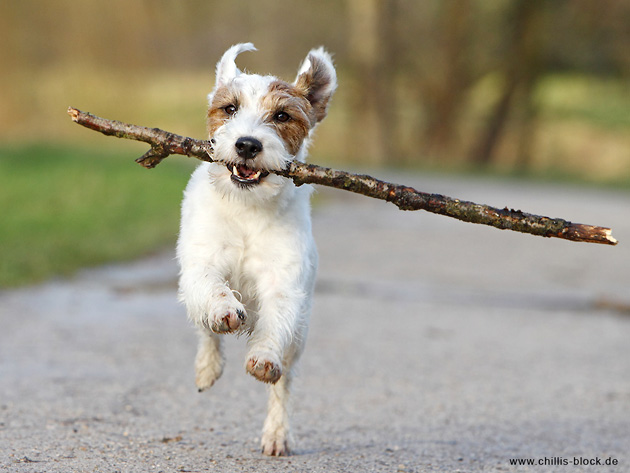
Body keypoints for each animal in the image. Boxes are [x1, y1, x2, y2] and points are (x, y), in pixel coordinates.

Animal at [175, 43, 338, 454]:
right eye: (230, 108)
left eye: (281, 115)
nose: (247, 144)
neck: (246, 207)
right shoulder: (202, 263)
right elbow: (213, 292)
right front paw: (223, 312)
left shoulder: (284, 284)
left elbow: (274, 325)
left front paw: (263, 356)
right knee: (204, 328)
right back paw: (208, 366)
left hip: (300, 337)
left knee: (283, 384)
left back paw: (276, 435)